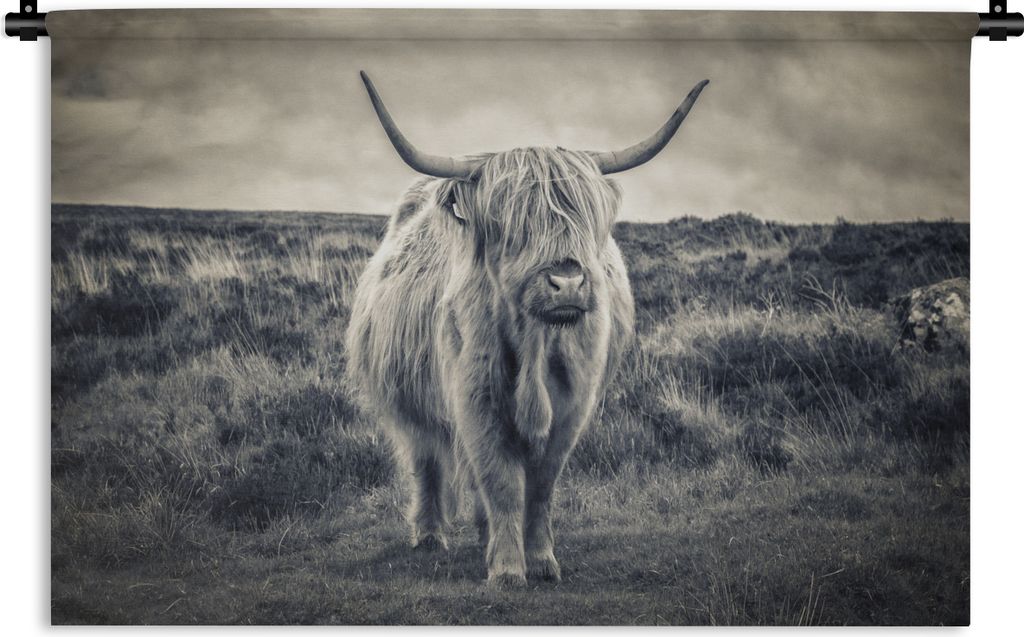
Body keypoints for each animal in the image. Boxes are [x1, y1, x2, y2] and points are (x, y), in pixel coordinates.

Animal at [345, 72, 708, 588]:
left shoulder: (572, 406)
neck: (537, 344)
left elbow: (539, 486)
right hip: (408, 401)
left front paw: (540, 560)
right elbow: (500, 481)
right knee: (427, 460)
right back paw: (431, 535)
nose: (567, 281)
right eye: (511, 224)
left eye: (584, 217)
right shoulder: (475, 399)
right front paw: (506, 569)